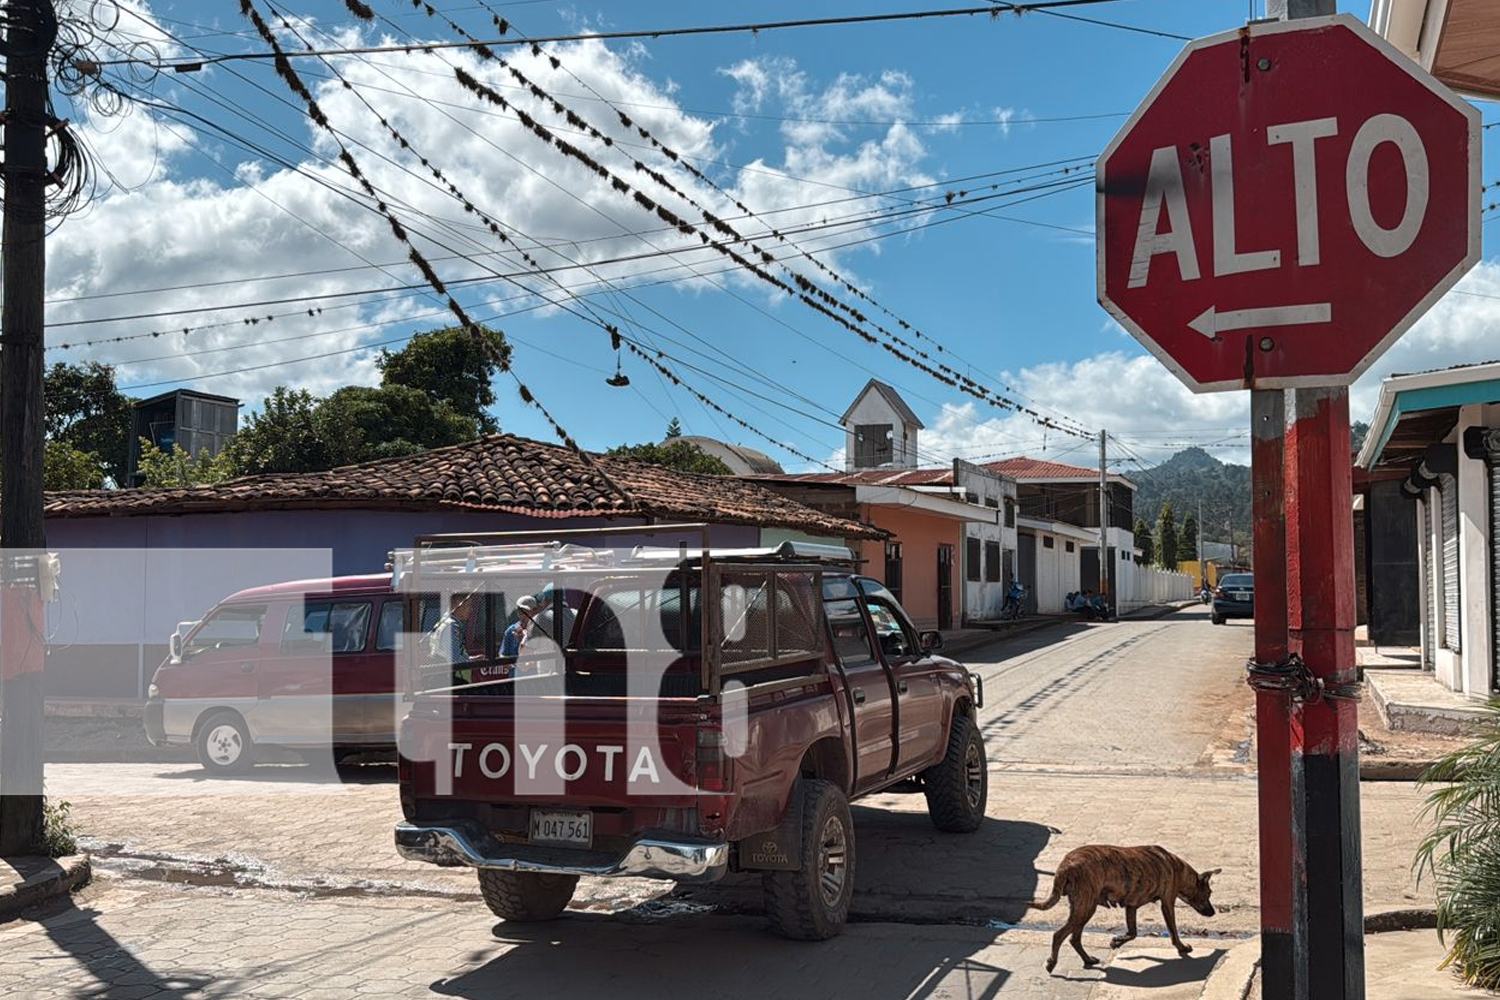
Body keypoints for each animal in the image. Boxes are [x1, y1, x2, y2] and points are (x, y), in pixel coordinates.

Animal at [1032, 851, 1218, 971]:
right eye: (1208, 894)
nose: (1213, 913)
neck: (1178, 869)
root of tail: (1065, 865)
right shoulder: (1167, 903)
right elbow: (1173, 931)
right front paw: (1181, 947)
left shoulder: (1131, 906)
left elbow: (1133, 932)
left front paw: (1117, 942)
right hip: (1085, 908)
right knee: (1059, 935)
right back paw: (1052, 962)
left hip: (1081, 908)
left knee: (1074, 938)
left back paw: (1088, 959)